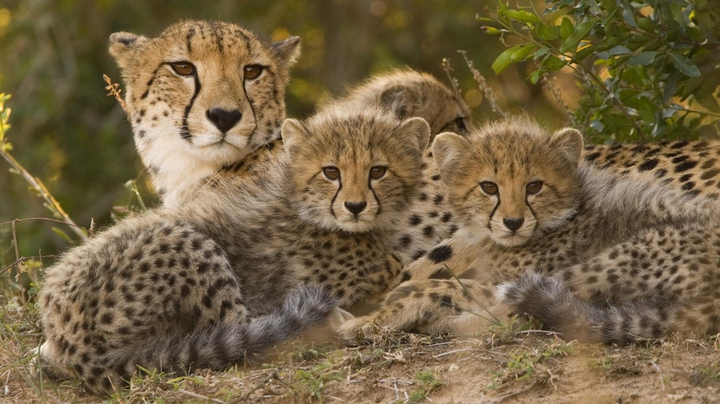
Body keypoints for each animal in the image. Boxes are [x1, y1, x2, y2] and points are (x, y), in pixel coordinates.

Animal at [37, 105, 430, 394]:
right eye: (330, 172)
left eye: (378, 171)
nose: (355, 206)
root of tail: (68, 339)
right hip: (187, 241)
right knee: (243, 336)